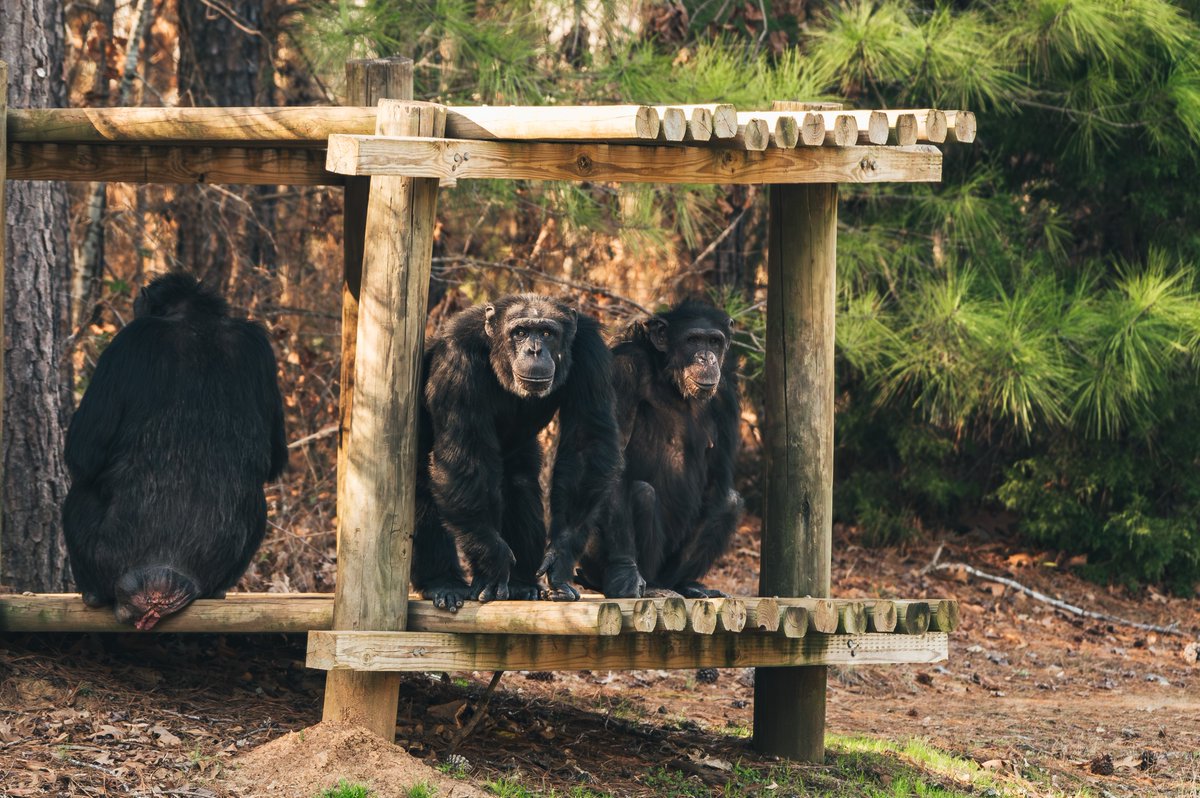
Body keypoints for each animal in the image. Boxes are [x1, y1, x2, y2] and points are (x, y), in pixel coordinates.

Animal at [63, 273, 290, 628]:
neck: (195, 318)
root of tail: (161, 580)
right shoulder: (260, 349)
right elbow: (277, 453)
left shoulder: (129, 341)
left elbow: (84, 452)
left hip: (104, 558)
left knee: (79, 493)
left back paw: (93, 595)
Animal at [412, 292, 619, 609]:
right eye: (520, 332)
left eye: (546, 333)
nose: (534, 350)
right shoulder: (455, 359)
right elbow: (465, 454)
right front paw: (492, 560)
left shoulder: (590, 351)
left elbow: (587, 443)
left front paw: (560, 556)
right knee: (426, 485)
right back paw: (442, 583)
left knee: (519, 482)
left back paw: (522, 584)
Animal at [578, 300, 739, 597]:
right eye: (693, 340)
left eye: (714, 341)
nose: (707, 358)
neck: (671, 381)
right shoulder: (624, 371)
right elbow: (614, 460)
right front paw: (624, 572)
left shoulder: (725, 395)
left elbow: (717, 480)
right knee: (642, 493)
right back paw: (641, 582)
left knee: (729, 503)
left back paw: (682, 584)